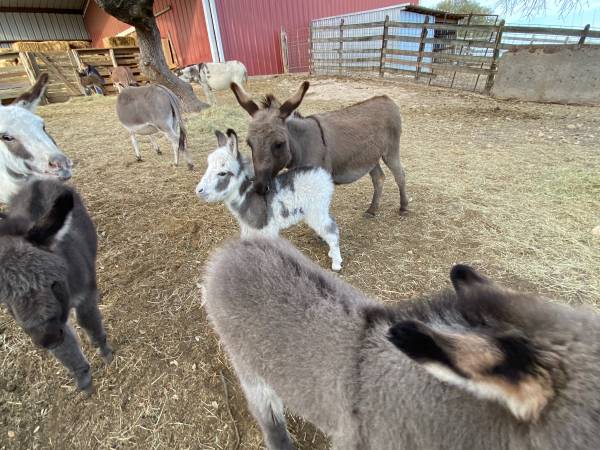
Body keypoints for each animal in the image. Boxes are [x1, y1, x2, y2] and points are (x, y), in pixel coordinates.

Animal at [0, 178, 112, 390]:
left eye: (53, 283)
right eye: (6, 299)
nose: (48, 339)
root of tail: (37, 180)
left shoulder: (83, 296)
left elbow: (89, 321)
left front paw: (105, 350)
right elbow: (67, 349)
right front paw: (83, 378)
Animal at [195, 130, 340, 270]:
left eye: (222, 173)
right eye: (208, 166)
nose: (198, 190)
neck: (248, 197)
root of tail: (322, 173)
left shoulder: (266, 231)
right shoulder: (250, 231)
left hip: (316, 210)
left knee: (331, 230)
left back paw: (336, 263)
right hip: (321, 209)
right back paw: (332, 253)